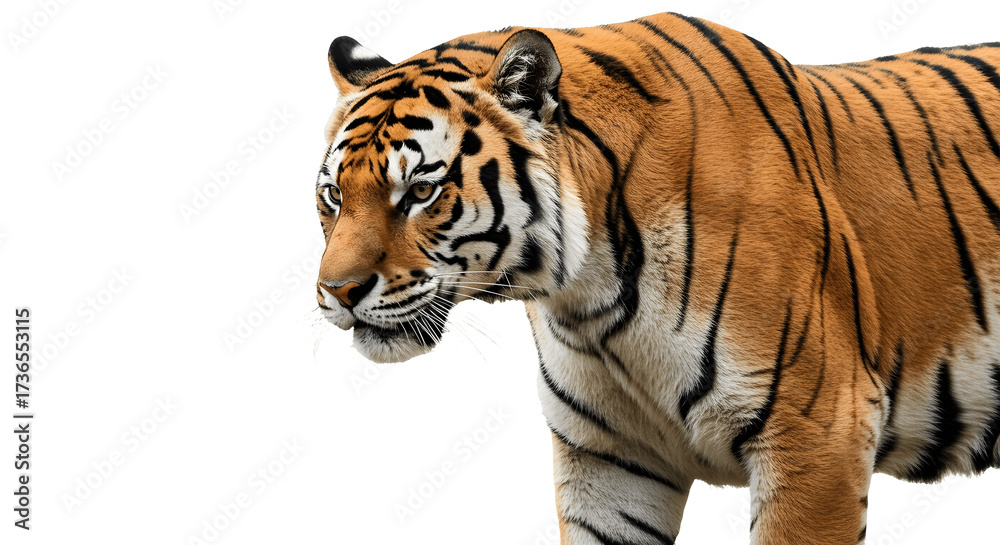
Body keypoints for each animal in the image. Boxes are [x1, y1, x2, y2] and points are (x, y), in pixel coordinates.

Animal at [313, 11, 1000, 545]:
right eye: (333, 195)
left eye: (420, 192)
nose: (337, 293)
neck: (588, 299)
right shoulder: (608, 461)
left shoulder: (818, 435)